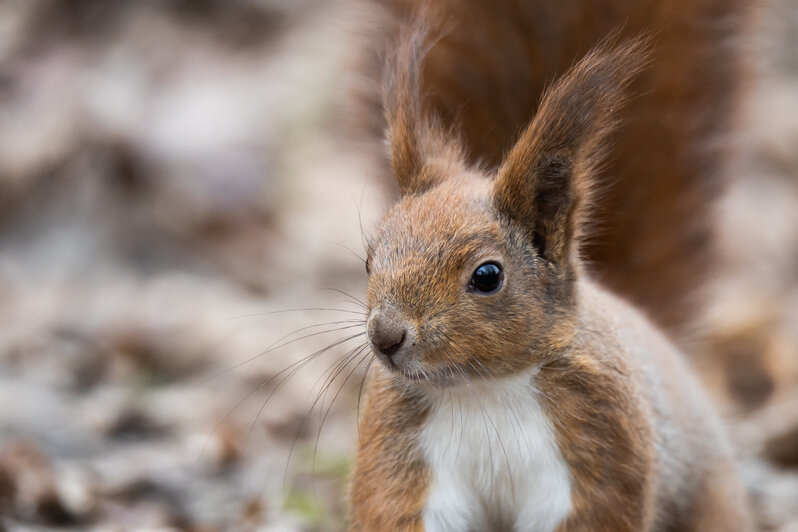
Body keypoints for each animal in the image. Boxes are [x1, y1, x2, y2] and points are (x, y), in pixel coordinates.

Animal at [346, 12, 752, 532]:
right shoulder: (402, 446)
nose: (385, 336)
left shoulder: (598, 436)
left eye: (487, 276)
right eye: (369, 259)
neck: (483, 390)